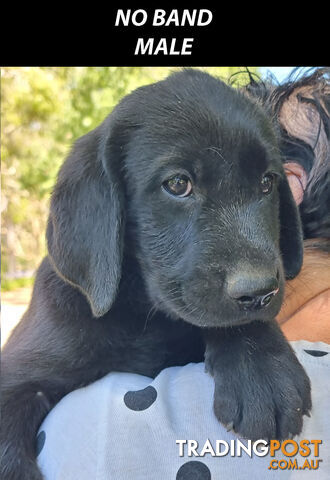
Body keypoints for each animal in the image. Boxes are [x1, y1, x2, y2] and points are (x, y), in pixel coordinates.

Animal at [0, 68, 312, 480]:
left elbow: (233, 322)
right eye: (178, 184)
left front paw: (263, 370)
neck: (141, 315)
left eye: (267, 182)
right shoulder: (17, 373)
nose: (259, 291)